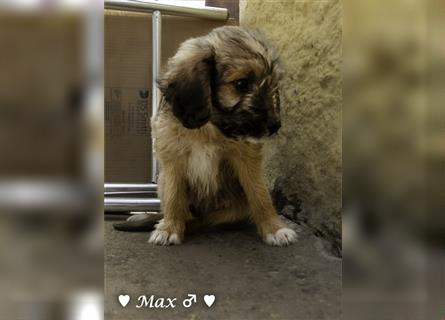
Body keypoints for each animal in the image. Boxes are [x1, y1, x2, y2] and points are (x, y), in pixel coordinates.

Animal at [149, 26, 298, 246]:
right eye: (241, 83)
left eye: (272, 85)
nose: (274, 126)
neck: (208, 128)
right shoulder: (173, 158)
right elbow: (174, 196)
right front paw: (169, 228)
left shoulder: (247, 157)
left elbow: (260, 195)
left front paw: (275, 228)